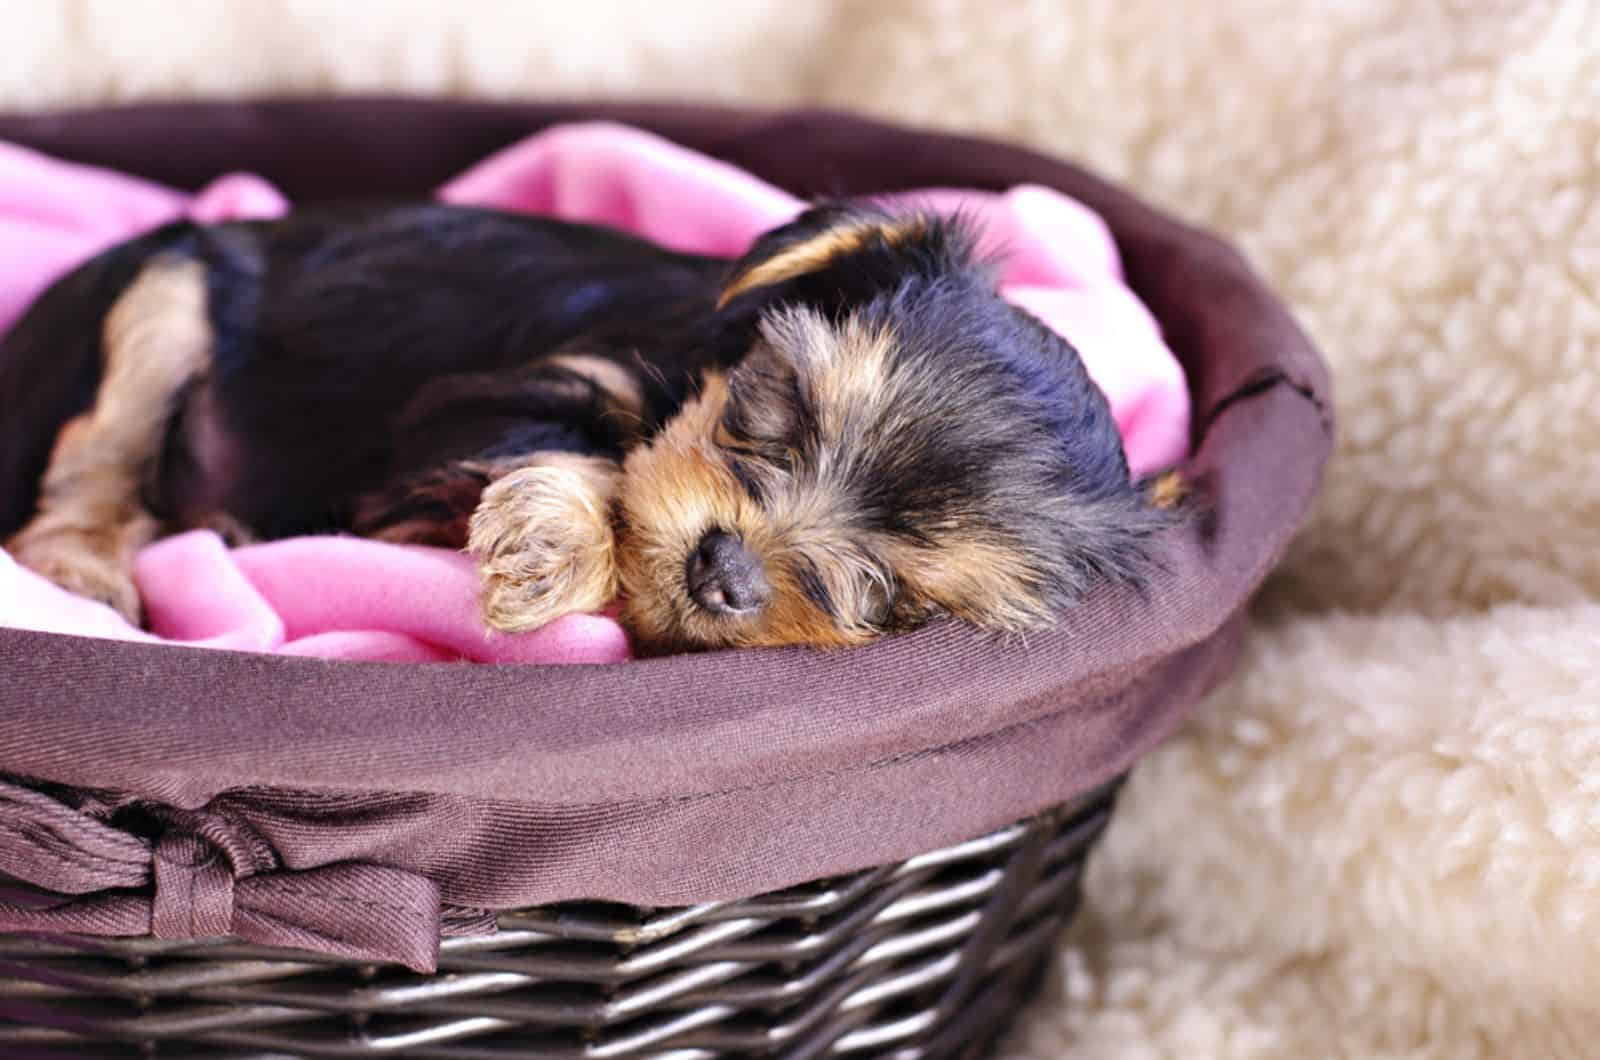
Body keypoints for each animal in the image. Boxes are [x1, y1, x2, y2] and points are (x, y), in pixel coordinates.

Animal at [0, 199, 1177, 653]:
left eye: (889, 595)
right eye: (781, 410)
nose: (725, 571)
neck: (689, 373)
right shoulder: (477, 408)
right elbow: (582, 447)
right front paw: (554, 543)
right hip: (160, 295)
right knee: (88, 459)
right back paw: (87, 563)